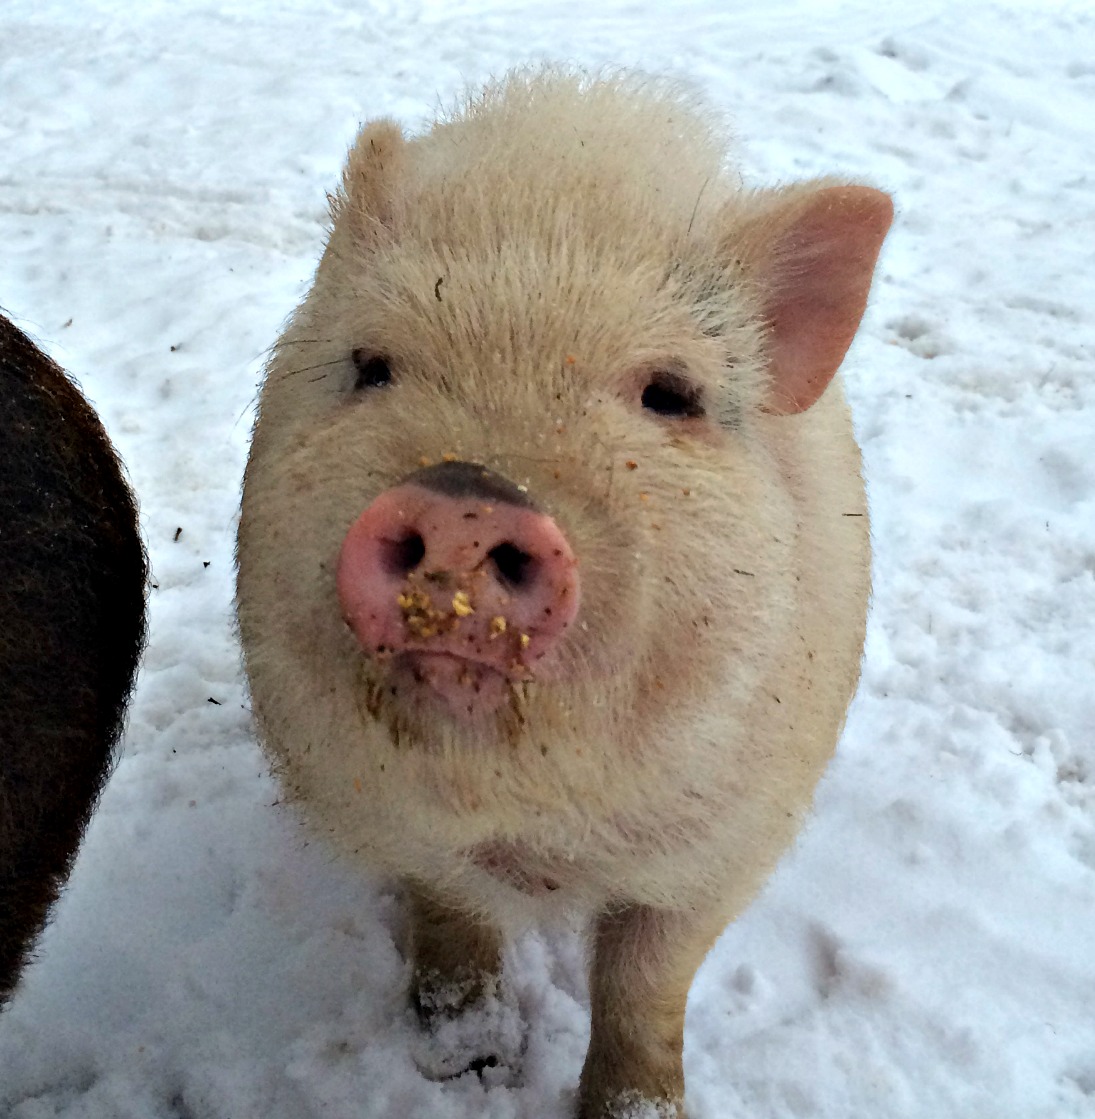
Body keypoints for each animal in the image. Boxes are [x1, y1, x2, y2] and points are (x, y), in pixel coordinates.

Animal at [237, 69, 892, 1117]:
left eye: (671, 394)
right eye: (370, 367)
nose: (463, 498)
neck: (530, 826)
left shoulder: (724, 845)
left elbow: (646, 983)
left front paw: (637, 1108)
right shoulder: (393, 819)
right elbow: (449, 912)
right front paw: (461, 1057)